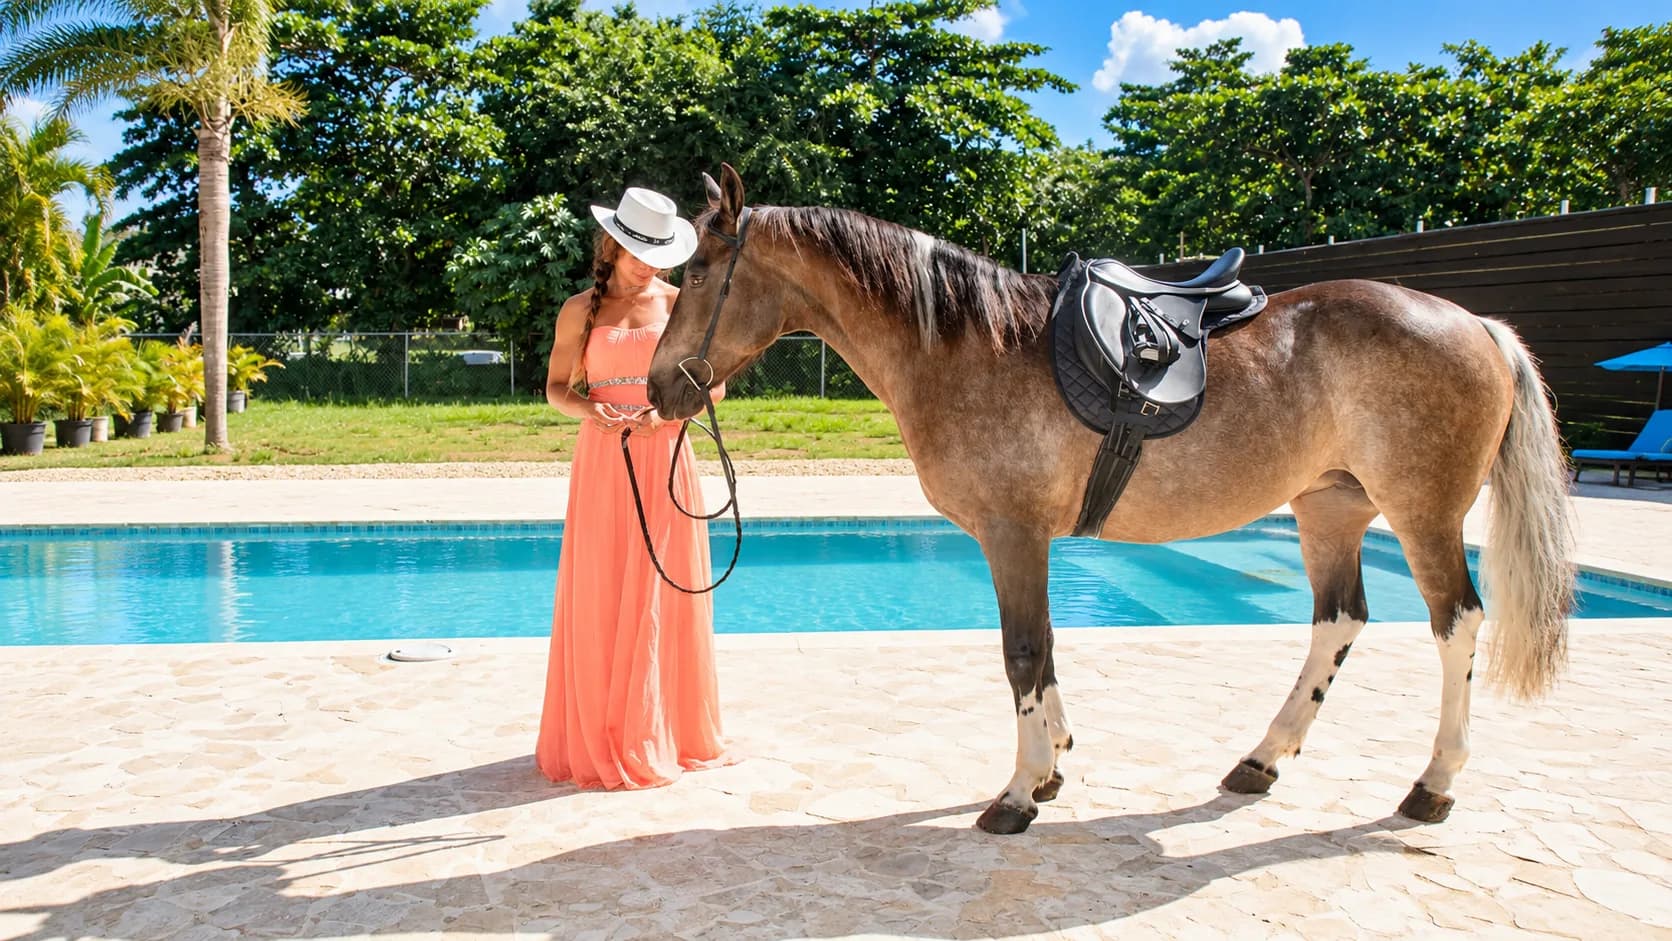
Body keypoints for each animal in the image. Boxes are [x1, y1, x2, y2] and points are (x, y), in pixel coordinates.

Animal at [648, 164, 1575, 835]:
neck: (967, 348)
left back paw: (1433, 782)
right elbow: (1048, 652)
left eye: (697, 272)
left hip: (1423, 515)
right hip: (1329, 509)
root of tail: (1476, 324)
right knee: (1338, 621)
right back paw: (1263, 760)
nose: (657, 388)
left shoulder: (1012, 534)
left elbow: (1023, 653)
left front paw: (1020, 791)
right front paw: (1055, 762)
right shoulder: (1026, 542)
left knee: (1456, 623)